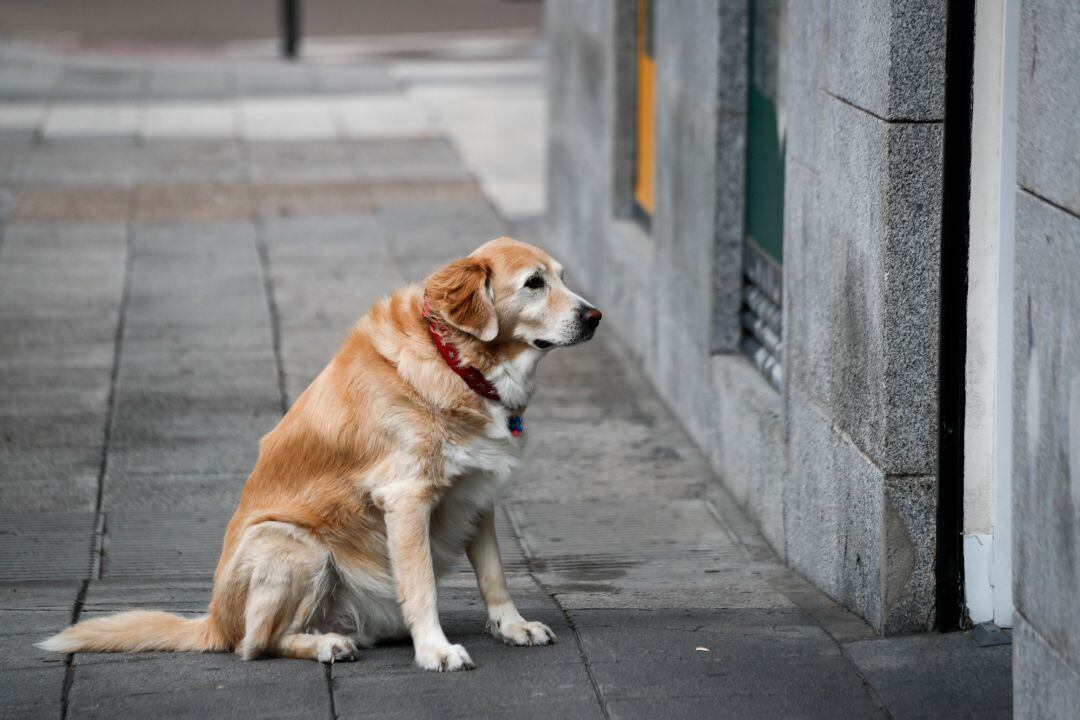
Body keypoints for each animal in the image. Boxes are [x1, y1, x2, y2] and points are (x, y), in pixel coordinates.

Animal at [39, 239, 600, 673]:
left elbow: (494, 575)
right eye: (533, 283)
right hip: (293, 544)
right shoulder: (406, 498)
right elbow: (422, 587)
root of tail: (213, 622)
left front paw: (513, 626)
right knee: (255, 645)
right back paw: (325, 644)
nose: (595, 316)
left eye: (562, 277)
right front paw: (435, 650)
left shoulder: (477, 493)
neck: (457, 361)